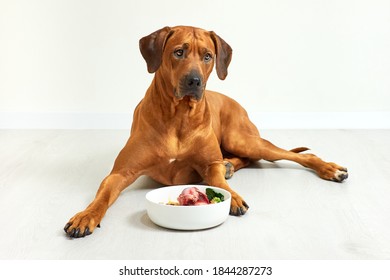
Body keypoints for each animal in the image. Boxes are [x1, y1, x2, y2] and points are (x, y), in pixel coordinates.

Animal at [64, 25, 348, 238]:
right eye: (178, 52)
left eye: (207, 56)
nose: (194, 81)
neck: (178, 116)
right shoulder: (120, 173)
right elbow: (102, 196)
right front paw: (85, 216)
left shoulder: (209, 164)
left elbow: (218, 182)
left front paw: (233, 197)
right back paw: (230, 165)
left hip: (242, 138)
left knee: (294, 155)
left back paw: (329, 169)